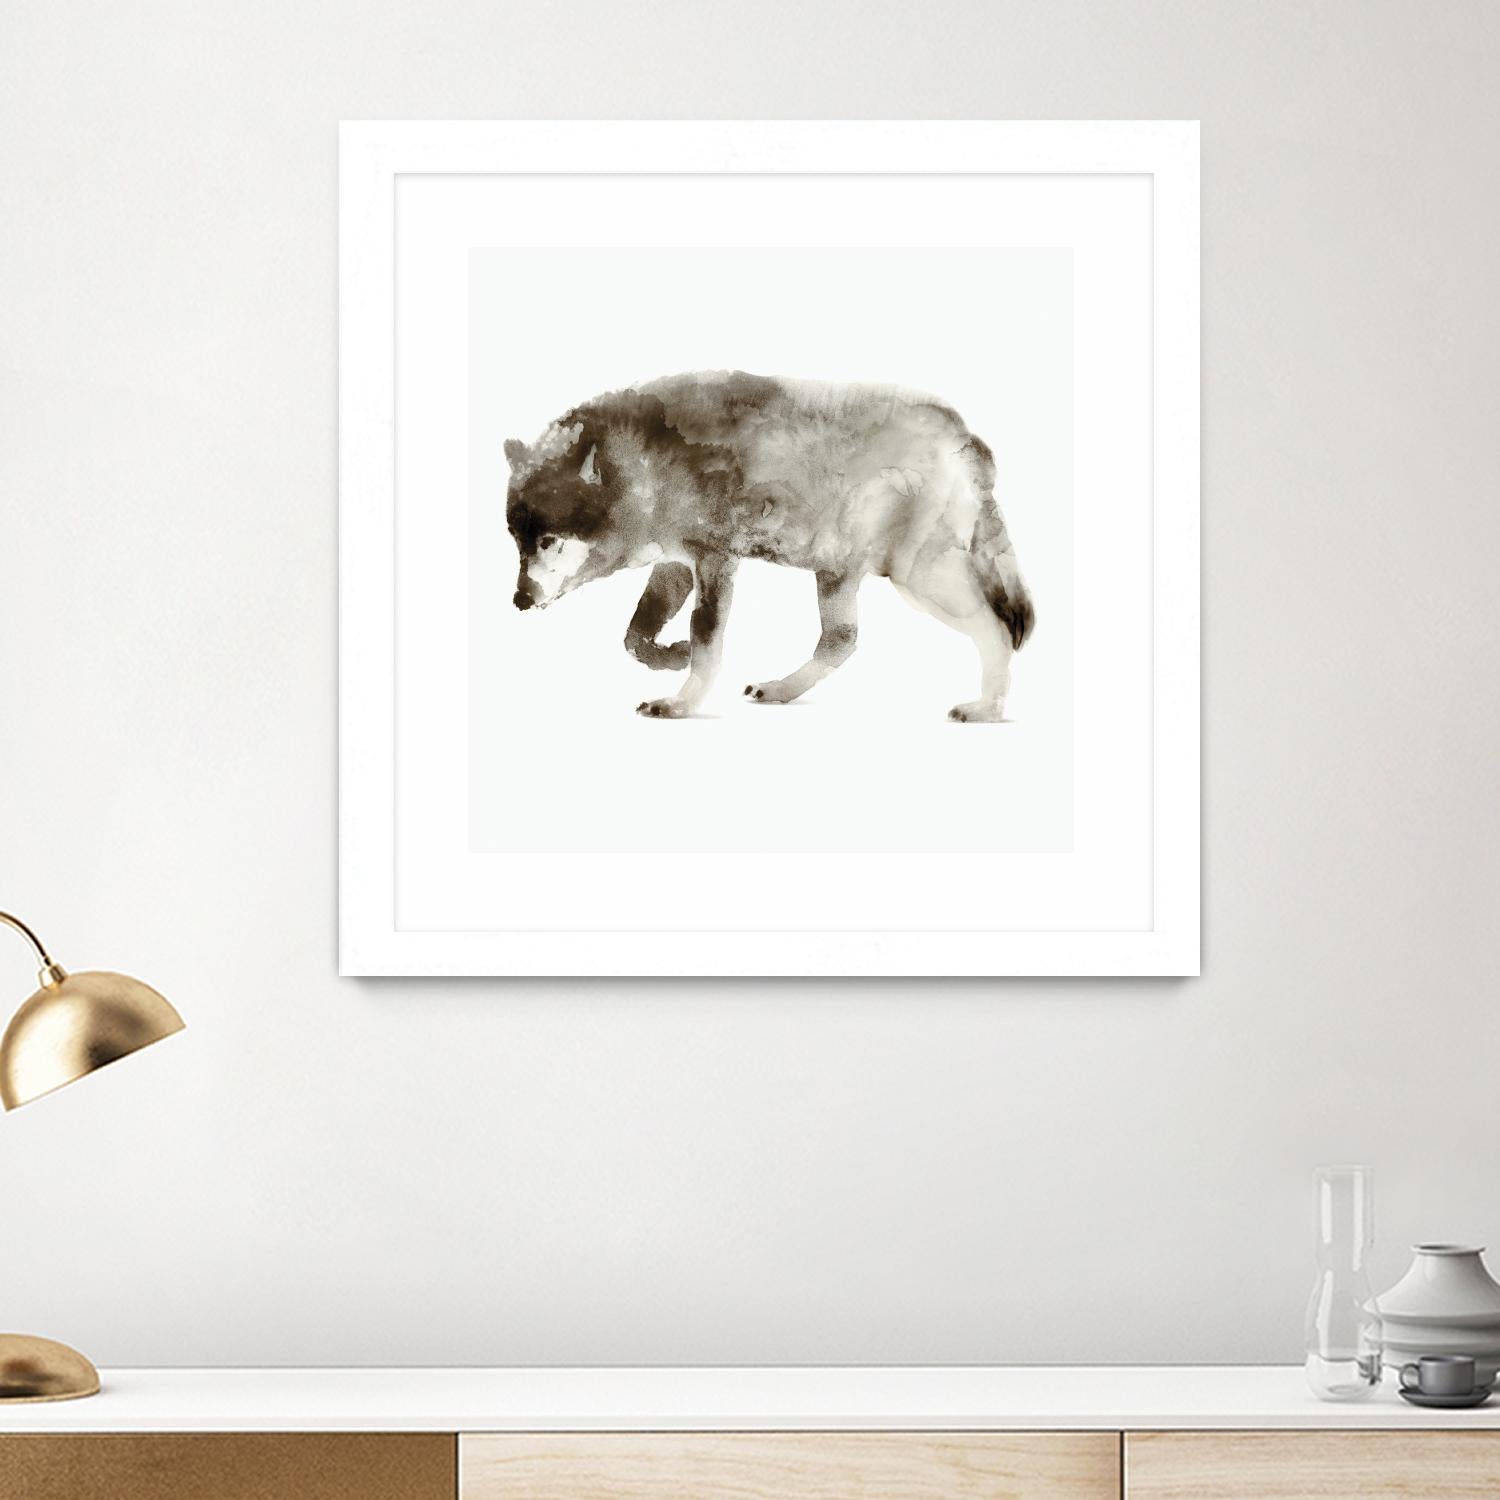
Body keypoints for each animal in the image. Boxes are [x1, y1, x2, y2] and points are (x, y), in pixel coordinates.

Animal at [504, 371, 1034, 721]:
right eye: (517, 541)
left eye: (548, 541)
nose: (519, 600)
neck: (641, 464)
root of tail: (963, 434)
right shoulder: (677, 562)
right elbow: (635, 635)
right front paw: (671, 656)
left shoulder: (715, 560)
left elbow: (705, 640)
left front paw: (680, 702)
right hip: (838, 570)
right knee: (842, 640)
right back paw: (781, 690)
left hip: (917, 578)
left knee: (997, 628)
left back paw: (987, 708)